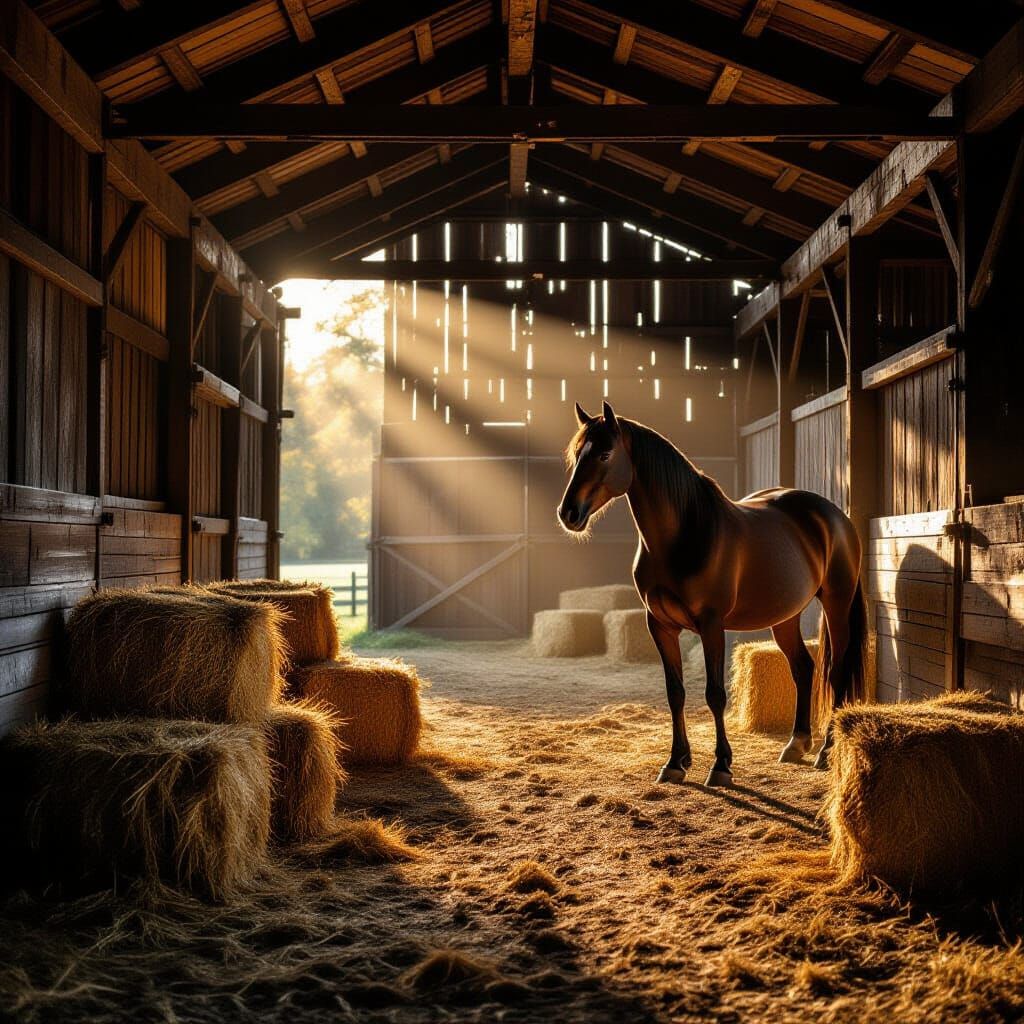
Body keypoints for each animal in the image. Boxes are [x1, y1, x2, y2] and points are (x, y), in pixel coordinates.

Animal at [557, 401, 867, 788]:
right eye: (576, 455)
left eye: (604, 453)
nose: (568, 513)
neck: (685, 534)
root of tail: (835, 515)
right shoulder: (659, 626)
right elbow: (675, 693)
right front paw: (675, 762)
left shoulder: (711, 624)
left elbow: (715, 694)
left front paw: (720, 765)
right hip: (785, 616)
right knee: (803, 668)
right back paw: (796, 744)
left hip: (837, 604)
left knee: (836, 671)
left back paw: (826, 752)